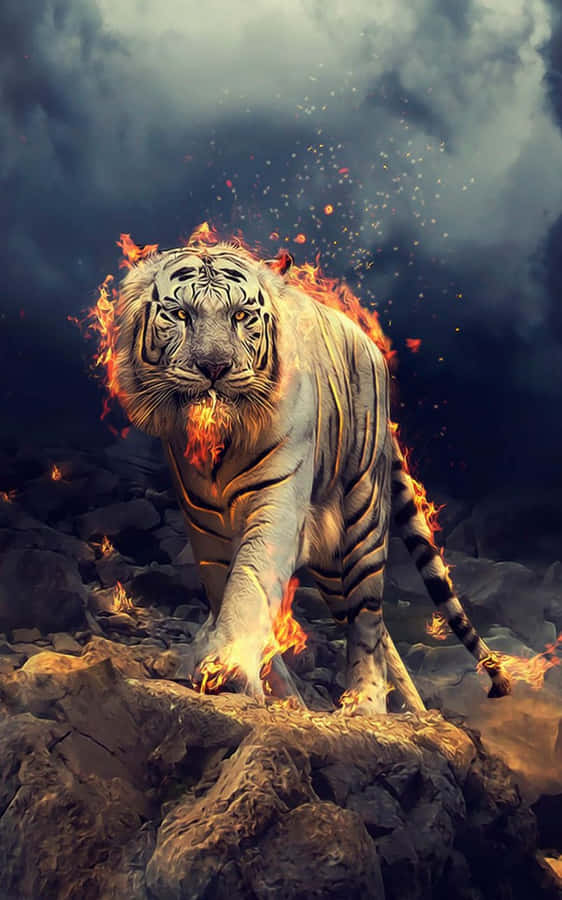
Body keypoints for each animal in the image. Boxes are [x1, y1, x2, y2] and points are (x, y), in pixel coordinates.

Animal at [113, 237, 511, 714]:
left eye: (240, 316)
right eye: (180, 314)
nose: (214, 367)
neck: (217, 441)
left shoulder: (277, 504)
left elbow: (250, 583)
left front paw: (228, 669)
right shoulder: (204, 524)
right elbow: (227, 589)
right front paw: (271, 690)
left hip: (360, 526)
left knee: (366, 619)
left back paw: (366, 704)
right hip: (333, 568)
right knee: (376, 628)